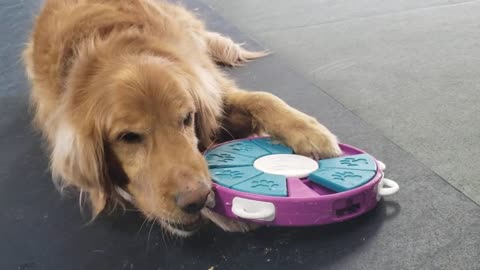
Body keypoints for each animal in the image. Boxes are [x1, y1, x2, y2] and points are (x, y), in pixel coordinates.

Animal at [23, 0, 342, 236]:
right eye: (128, 137)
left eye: (188, 118)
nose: (197, 199)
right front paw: (225, 213)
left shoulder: (209, 88)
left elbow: (262, 97)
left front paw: (309, 132)